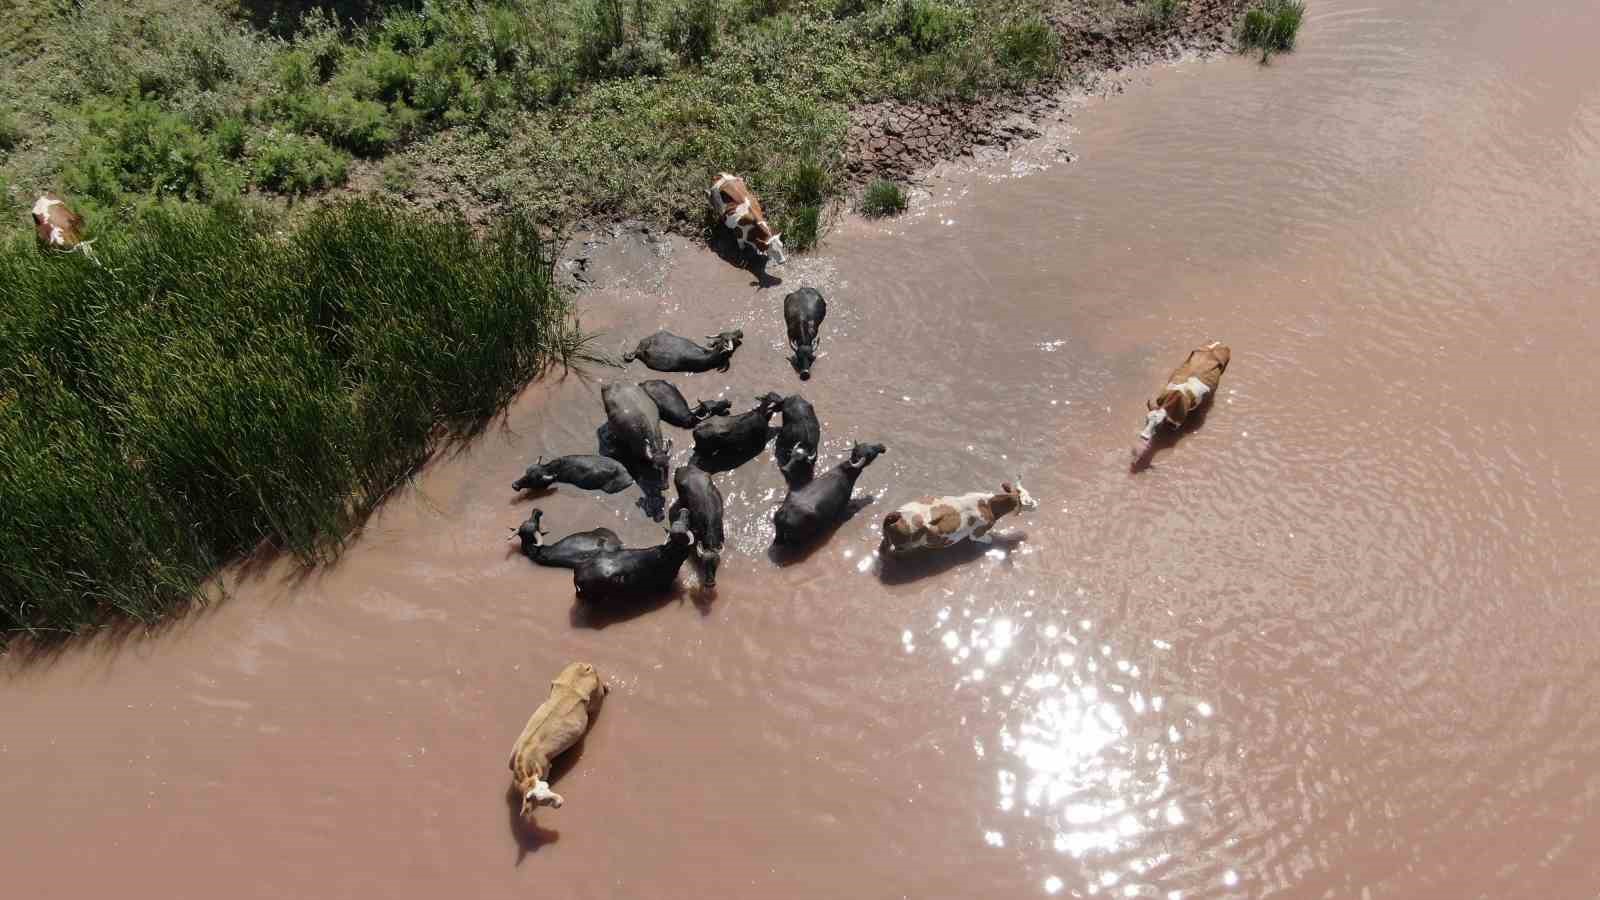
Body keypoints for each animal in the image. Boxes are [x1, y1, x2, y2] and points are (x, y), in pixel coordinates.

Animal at [508, 659, 608, 813]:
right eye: (542, 799)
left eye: (548, 787)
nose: (561, 801)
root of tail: (585, 666)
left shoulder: (546, 767)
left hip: (597, 697)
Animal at [883, 477, 1043, 554]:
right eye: (1028, 501)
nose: (1036, 504)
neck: (988, 505)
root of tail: (898, 515)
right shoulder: (977, 534)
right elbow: (989, 539)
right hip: (902, 545)